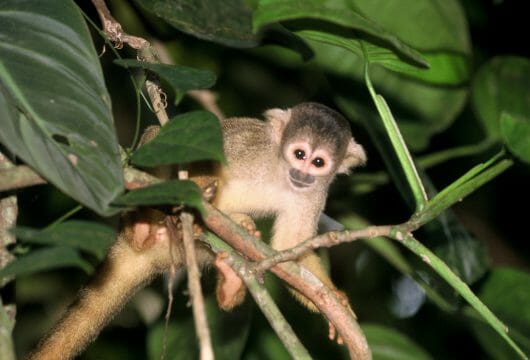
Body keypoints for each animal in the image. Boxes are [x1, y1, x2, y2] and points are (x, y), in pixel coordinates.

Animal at [27, 102, 364, 360]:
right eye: (299, 154)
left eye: (318, 162)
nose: (302, 174)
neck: (281, 172)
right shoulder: (252, 142)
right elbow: (200, 148)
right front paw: (200, 192)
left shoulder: (315, 194)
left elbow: (288, 250)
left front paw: (333, 300)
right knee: (156, 142)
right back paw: (142, 222)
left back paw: (232, 279)